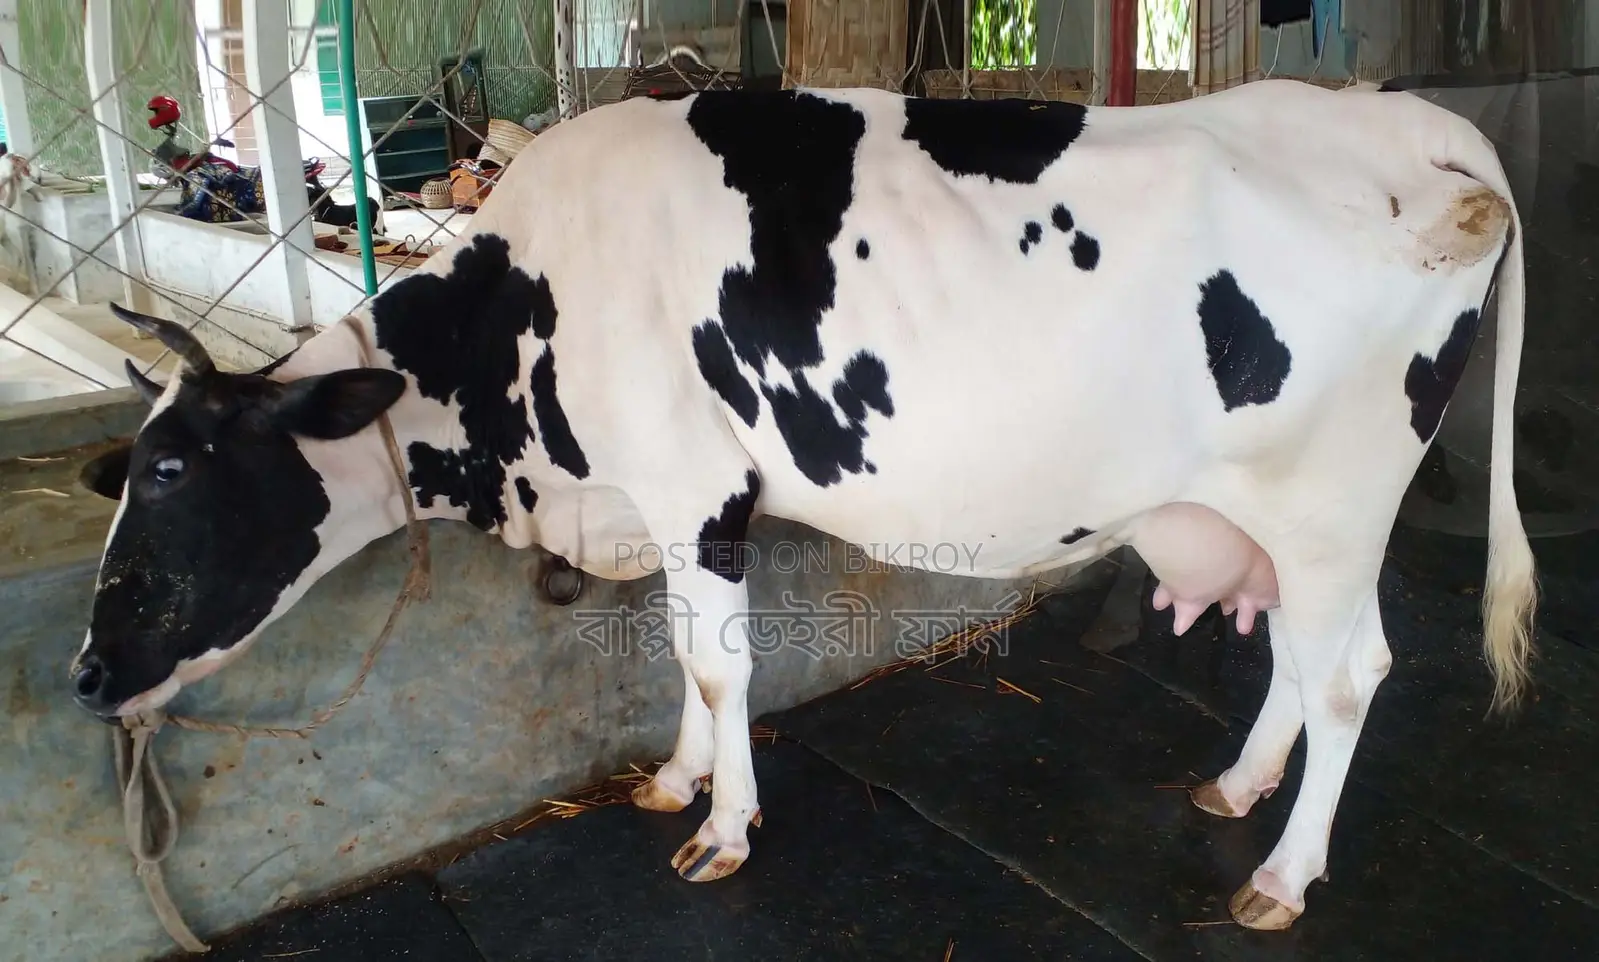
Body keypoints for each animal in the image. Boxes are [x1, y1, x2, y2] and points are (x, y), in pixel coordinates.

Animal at [68, 78, 1536, 930]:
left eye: (176, 470)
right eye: (127, 470)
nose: (85, 672)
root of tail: (1416, 122)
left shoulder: (693, 487)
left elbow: (721, 666)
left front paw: (723, 828)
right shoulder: (662, 505)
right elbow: (676, 652)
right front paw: (674, 780)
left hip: (1331, 496)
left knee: (1349, 668)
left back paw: (1282, 876)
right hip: (1273, 515)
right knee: (1292, 652)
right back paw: (1235, 787)